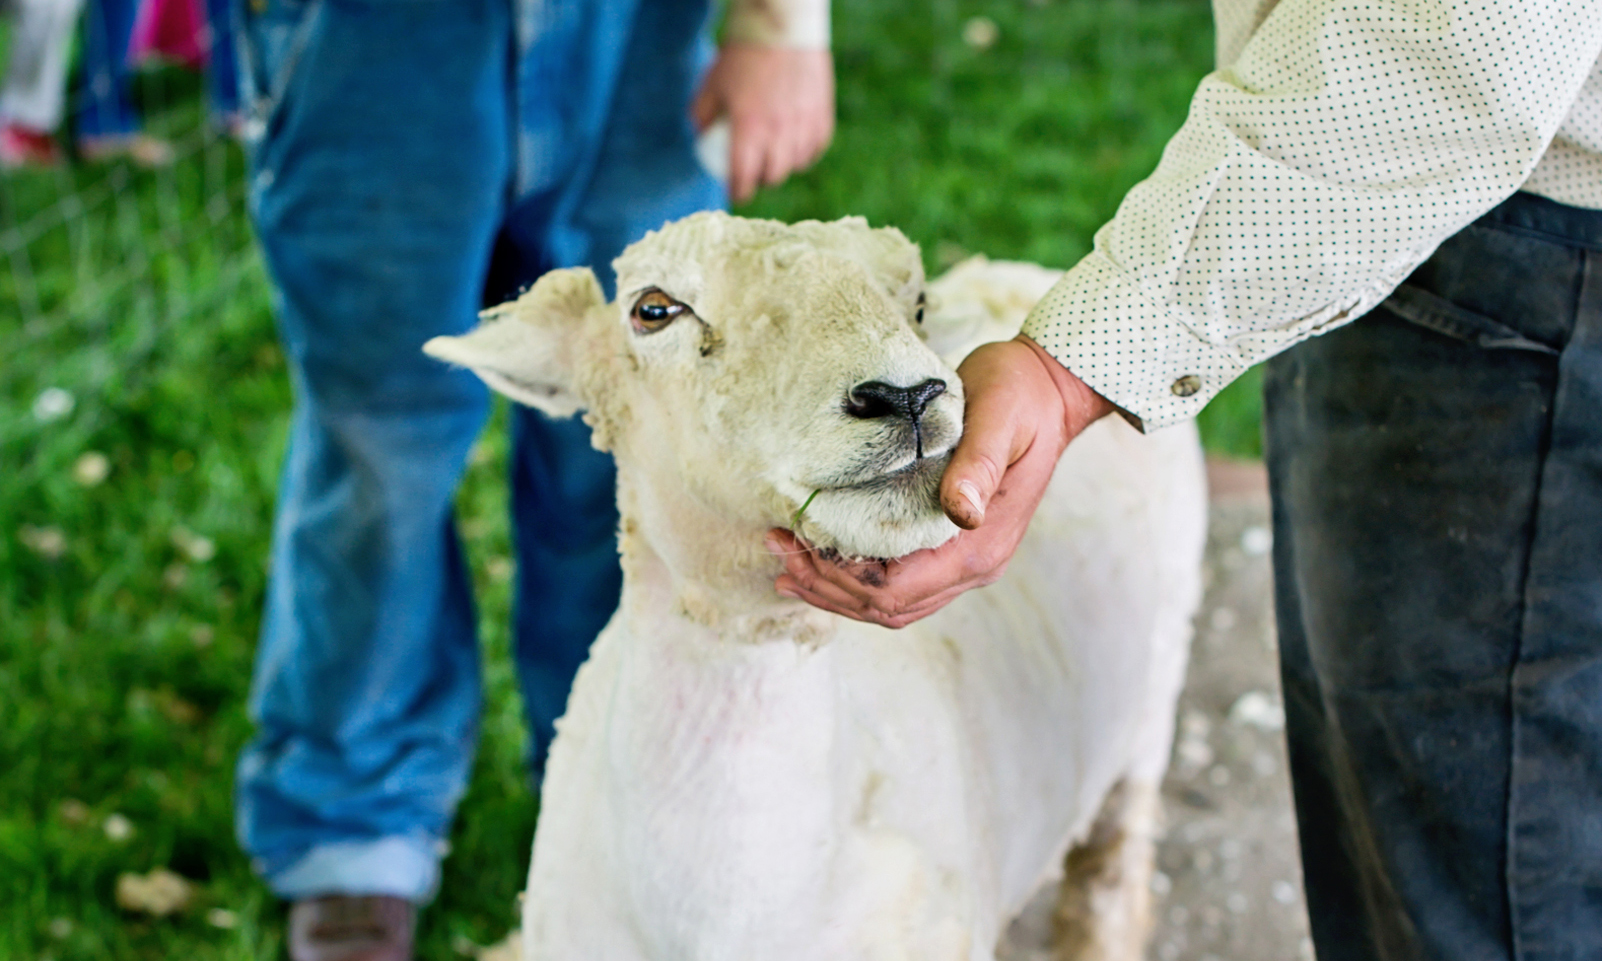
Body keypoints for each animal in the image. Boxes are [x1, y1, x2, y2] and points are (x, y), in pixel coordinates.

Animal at [422, 211, 1204, 961]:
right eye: (653, 309)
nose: (908, 395)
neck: (726, 903)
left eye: (917, 304)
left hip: (1150, 708)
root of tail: (1030, 270)